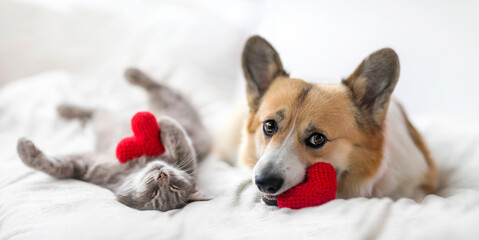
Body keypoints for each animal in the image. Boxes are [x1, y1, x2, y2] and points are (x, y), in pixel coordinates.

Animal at [16, 68, 212, 211]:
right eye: (156, 193)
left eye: (170, 189)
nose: (162, 175)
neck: (132, 170)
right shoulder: (83, 164)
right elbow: (53, 165)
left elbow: (178, 138)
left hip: (163, 105)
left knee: (157, 89)